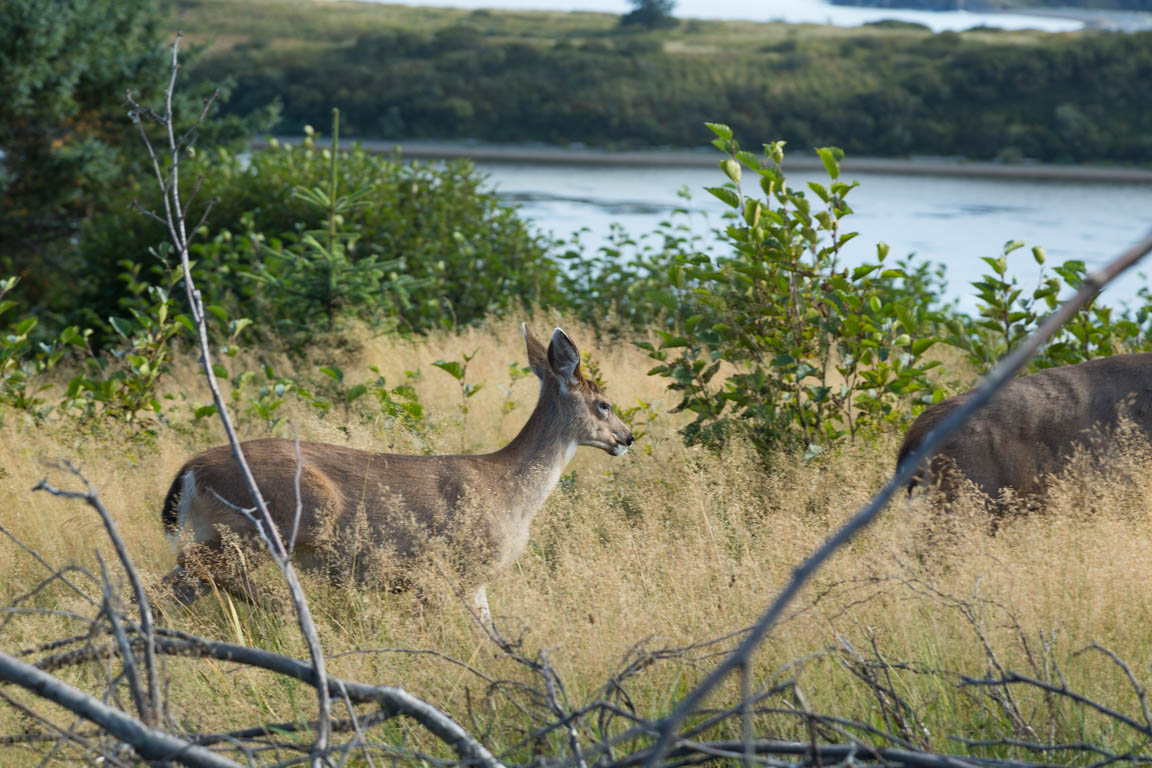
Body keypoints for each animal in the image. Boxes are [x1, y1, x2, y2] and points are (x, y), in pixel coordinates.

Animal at [160, 327, 640, 617]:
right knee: (201, 570)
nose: (627, 437)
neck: (511, 491)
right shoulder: (443, 569)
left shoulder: (472, 582)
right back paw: (288, 608)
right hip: (273, 521)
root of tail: (188, 471)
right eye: (605, 404)